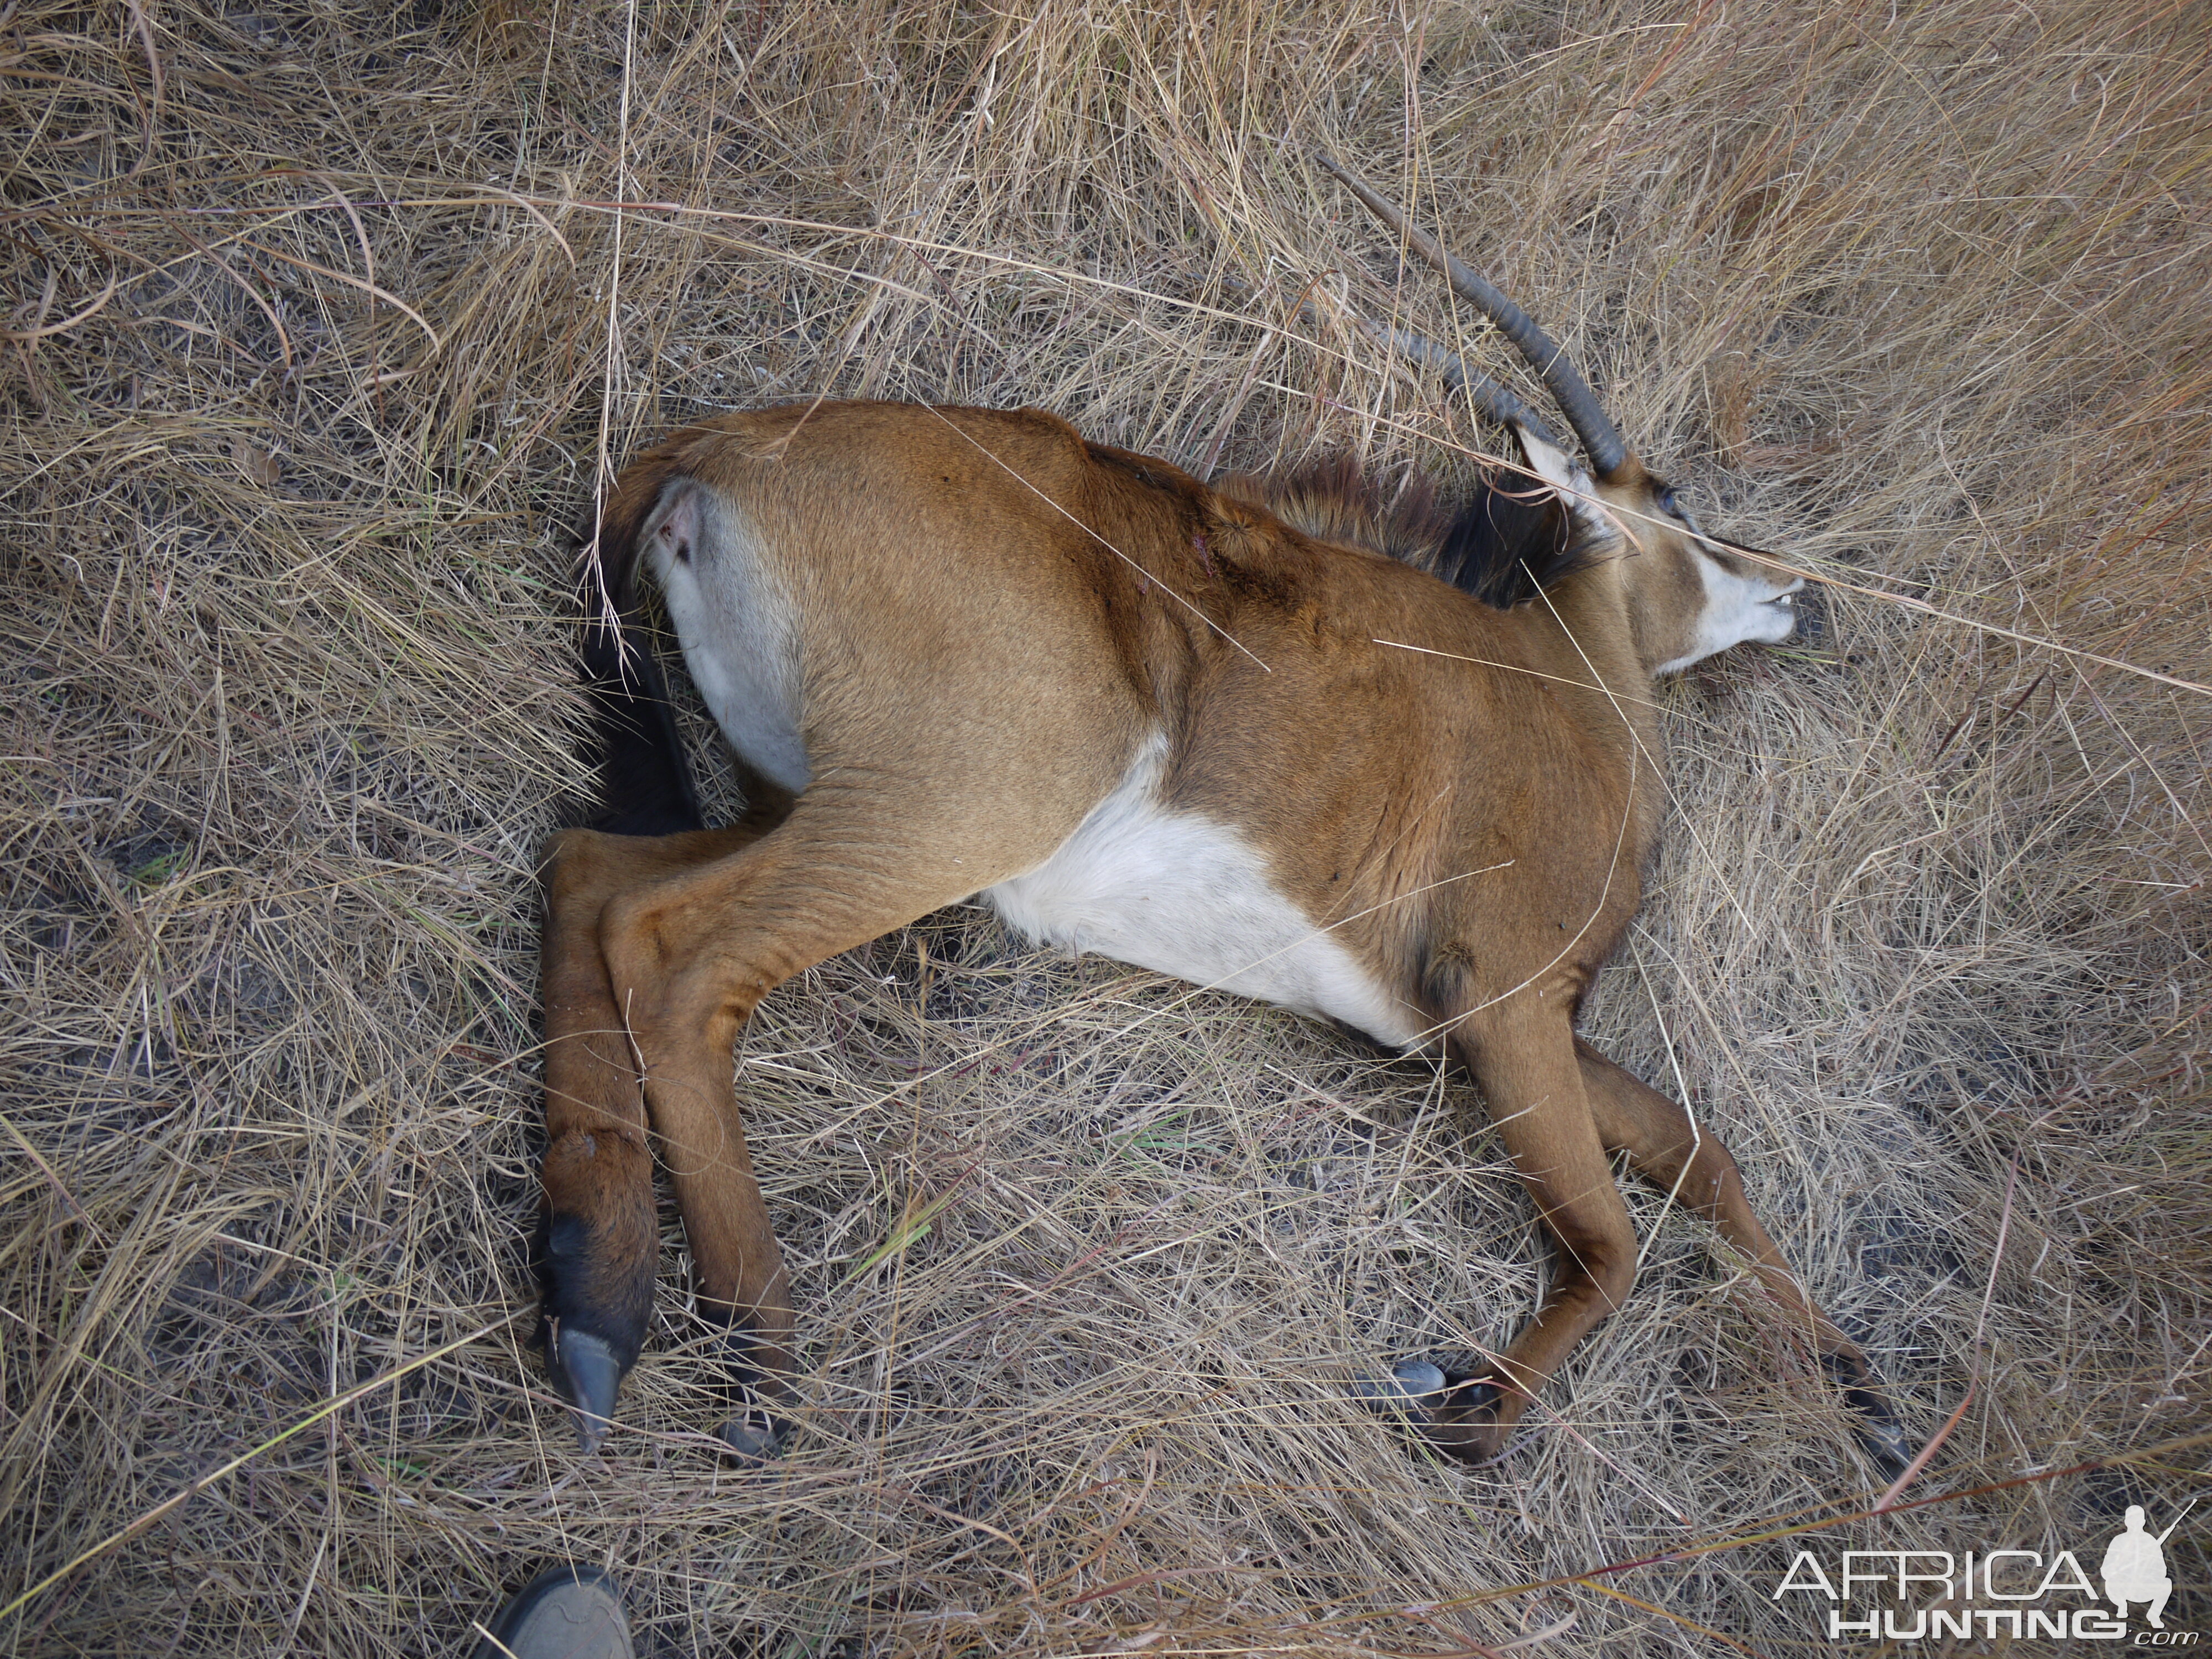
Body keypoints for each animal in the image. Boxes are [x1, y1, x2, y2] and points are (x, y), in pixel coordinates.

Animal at [540, 159, 1920, 1478]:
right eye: (1675, 503)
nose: (1790, 589)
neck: (1568, 674)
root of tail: (731, 445)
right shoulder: (1499, 998)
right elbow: (1615, 1235)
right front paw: (1455, 1404)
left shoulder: (1469, 1025)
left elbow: (1696, 1151)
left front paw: (1866, 1399)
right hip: (959, 803)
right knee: (679, 960)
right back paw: (757, 1369)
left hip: (814, 799)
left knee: (595, 873)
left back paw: (591, 1308)